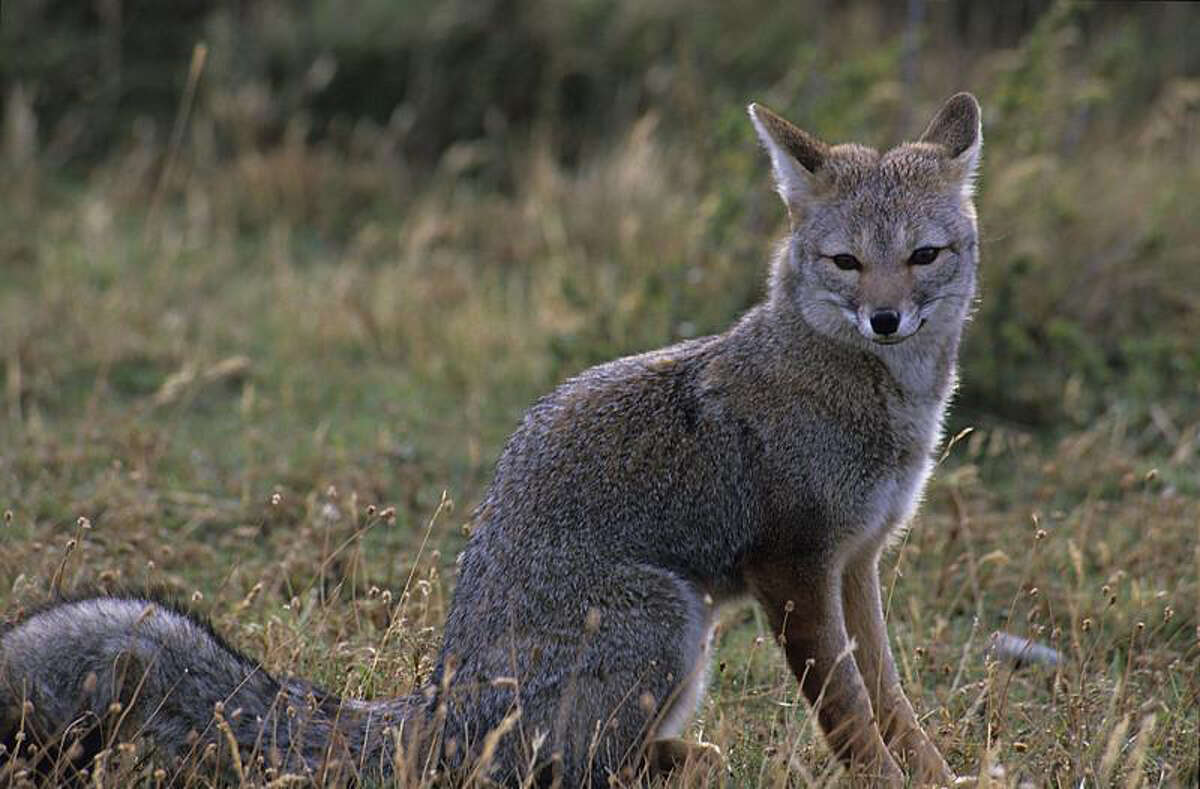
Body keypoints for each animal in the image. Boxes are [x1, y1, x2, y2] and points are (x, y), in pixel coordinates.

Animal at [0, 92, 982, 787]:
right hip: (671, 614)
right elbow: (847, 710)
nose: (886, 319)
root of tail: (445, 700)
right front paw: (884, 780)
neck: (880, 403)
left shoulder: (855, 561)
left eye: (923, 255)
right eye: (845, 262)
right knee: (569, 769)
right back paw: (681, 760)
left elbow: (889, 694)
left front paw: (941, 774)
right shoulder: (794, 567)